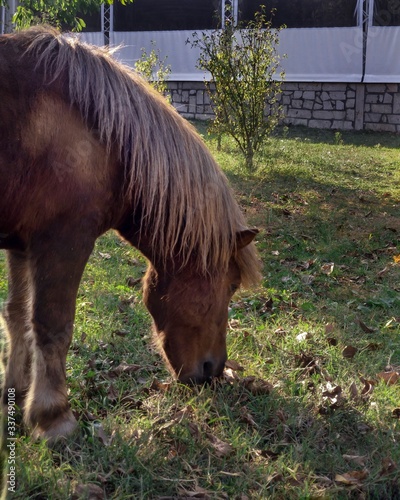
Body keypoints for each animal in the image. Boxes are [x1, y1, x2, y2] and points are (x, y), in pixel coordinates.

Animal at [0, 27, 260, 440]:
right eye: (232, 285)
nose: (215, 371)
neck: (102, 138)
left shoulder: (21, 245)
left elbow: (16, 315)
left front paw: (15, 395)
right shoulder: (63, 242)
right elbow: (52, 326)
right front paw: (53, 417)